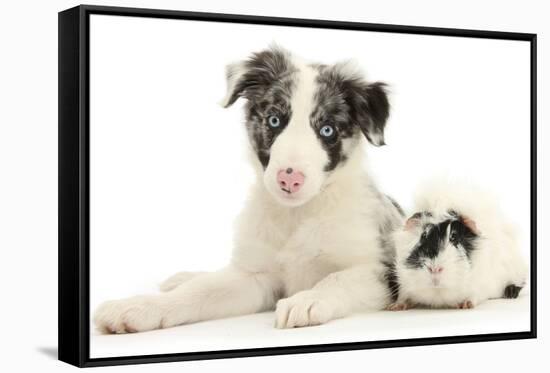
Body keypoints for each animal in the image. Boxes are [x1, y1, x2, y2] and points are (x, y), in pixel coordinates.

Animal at [94, 45, 406, 332]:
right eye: (274, 120)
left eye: (327, 129)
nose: (289, 179)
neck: (297, 215)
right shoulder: (255, 276)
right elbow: (201, 291)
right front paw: (140, 306)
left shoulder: (380, 271)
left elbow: (336, 279)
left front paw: (306, 300)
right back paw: (182, 278)